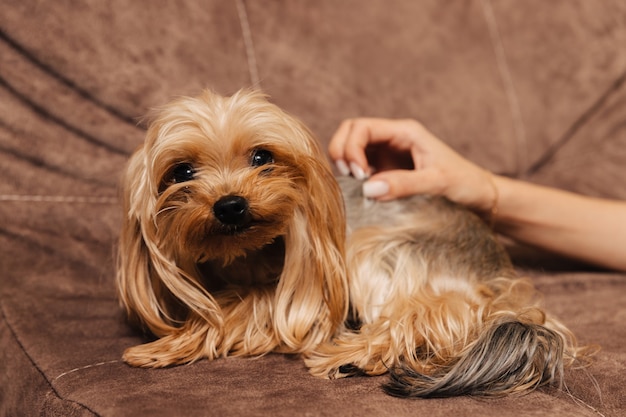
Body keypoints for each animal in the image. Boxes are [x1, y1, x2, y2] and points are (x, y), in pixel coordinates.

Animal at [117, 88, 584, 396]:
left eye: (262, 157)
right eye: (181, 173)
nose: (231, 205)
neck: (245, 256)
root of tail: (495, 271)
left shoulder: (310, 294)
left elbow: (241, 306)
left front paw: (165, 345)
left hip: (380, 250)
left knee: (428, 314)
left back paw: (353, 355)